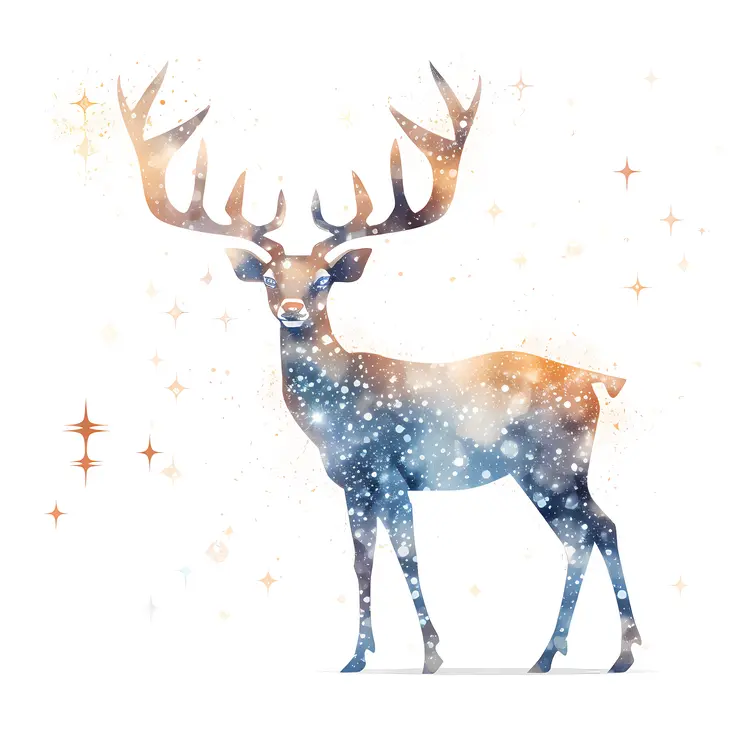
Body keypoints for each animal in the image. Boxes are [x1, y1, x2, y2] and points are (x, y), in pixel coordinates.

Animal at [118, 62, 641, 675]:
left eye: (323, 279)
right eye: (270, 278)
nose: (292, 310)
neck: (335, 417)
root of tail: (595, 380)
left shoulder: (388, 470)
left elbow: (407, 557)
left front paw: (431, 655)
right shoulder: (352, 483)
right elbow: (361, 560)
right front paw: (358, 656)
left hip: (555, 463)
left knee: (598, 527)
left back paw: (611, 653)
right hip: (541, 472)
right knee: (582, 535)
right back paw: (556, 655)